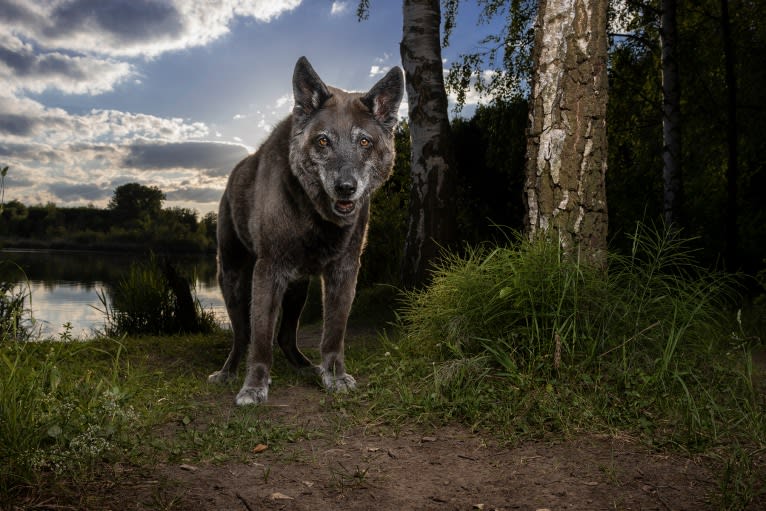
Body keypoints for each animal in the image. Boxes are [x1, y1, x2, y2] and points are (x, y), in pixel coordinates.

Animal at [207, 56, 404, 406]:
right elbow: (260, 339)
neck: (315, 215)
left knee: (286, 336)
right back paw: (228, 372)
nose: (345, 188)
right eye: (323, 141)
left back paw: (305, 367)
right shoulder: (268, 270)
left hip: (297, 287)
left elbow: (334, 334)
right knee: (242, 336)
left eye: (364, 142)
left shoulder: (344, 271)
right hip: (231, 276)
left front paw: (334, 376)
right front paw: (254, 387)